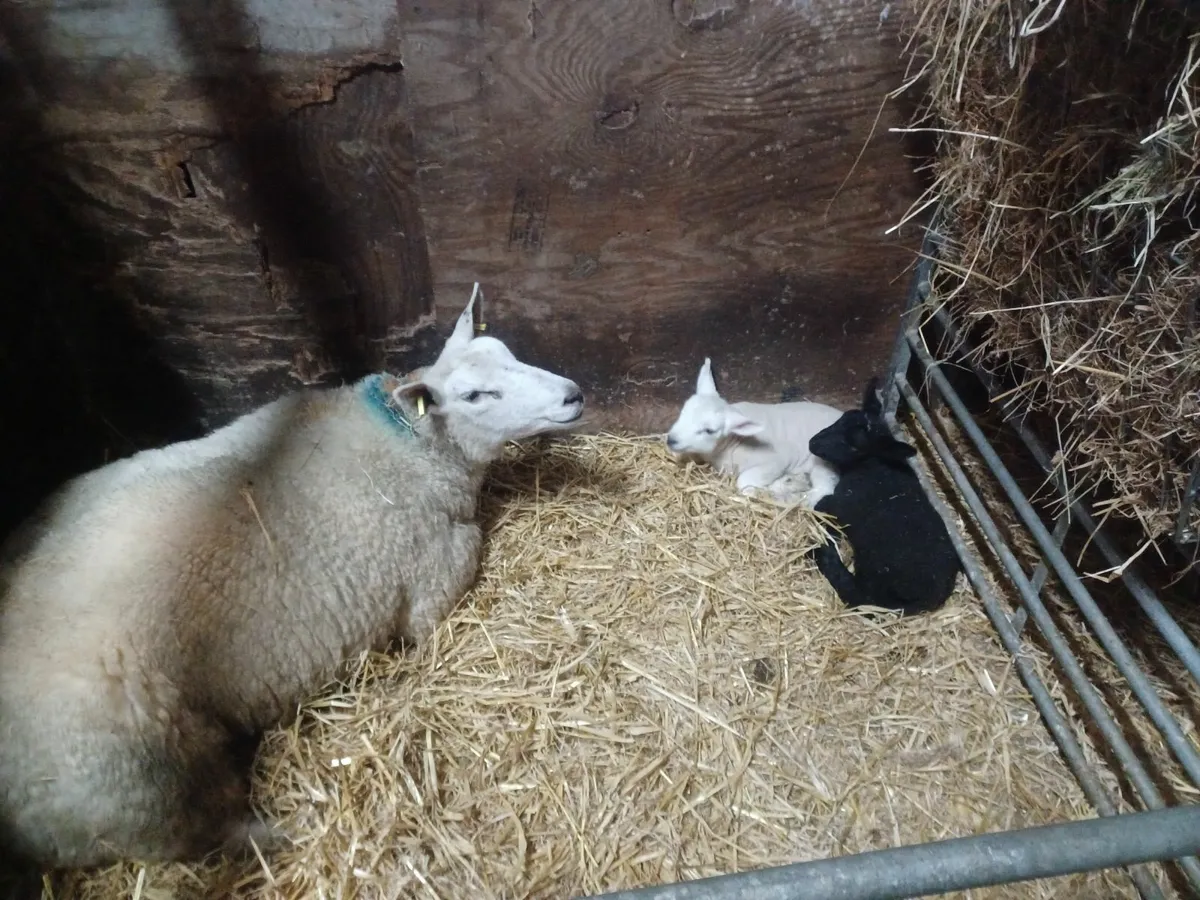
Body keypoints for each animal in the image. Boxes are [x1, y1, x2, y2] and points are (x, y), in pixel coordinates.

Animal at [0, 292, 584, 871]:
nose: (573, 395)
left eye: (507, 351)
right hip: (145, 783)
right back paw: (279, 836)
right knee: (205, 835)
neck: (410, 445)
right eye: (475, 395)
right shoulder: (435, 576)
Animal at [664, 357, 843, 506]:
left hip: (822, 461)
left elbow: (744, 483)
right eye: (683, 412)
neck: (730, 444)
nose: (671, 440)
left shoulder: (776, 460)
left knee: (824, 489)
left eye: (709, 430)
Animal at [806, 376, 960, 615]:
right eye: (840, 420)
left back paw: (823, 555)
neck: (874, 465)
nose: (812, 443)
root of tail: (926, 597)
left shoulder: (841, 503)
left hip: (874, 577)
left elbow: (822, 506)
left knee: (859, 596)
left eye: (854, 445)